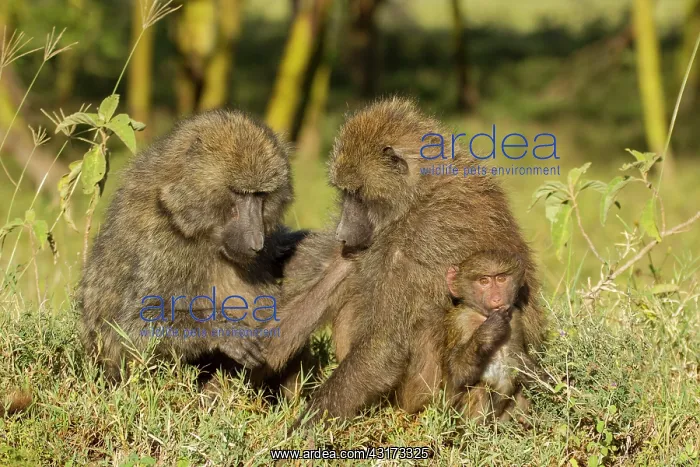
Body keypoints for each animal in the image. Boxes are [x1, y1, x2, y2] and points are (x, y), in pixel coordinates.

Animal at [79, 109, 351, 384]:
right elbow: (132, 327)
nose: (257, 241)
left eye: (260, 195)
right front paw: (223, 331)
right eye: (239, 193)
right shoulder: (157, 244)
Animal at [443, 249, 536, 423]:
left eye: (501, 279)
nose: (496, 299)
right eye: (484, 281)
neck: (482, 316)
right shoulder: (460, 322)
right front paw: (489, 331)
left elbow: (520, 361)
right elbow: (457, 375)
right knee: (480, 389)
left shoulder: (515, 319)